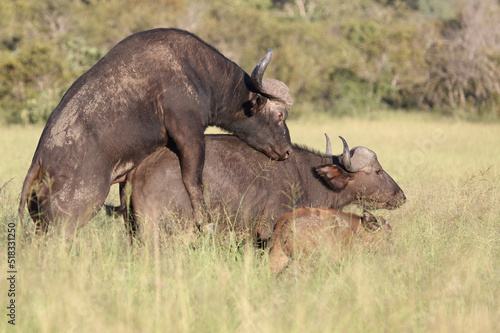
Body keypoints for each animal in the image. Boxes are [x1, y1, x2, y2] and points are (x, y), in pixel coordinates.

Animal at [18, 27, 292, 236]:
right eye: (280, 115)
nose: (288, 151)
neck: (197, 71)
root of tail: (40, 159)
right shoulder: (189, 133)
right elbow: (193, 179)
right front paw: (204, 221)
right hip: (73, 216)